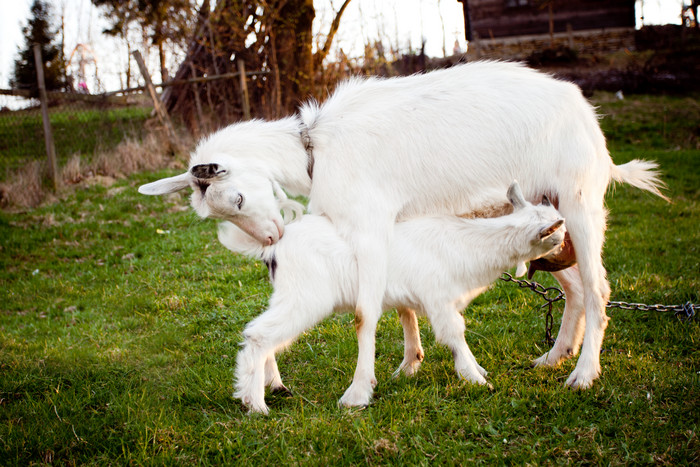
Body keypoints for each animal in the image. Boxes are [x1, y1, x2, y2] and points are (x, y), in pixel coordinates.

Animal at [138, 60, 668, 408]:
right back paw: (554, 358)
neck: (314, 150)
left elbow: (365, 313)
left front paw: (358, 391)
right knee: (574, 288)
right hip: (550, 219)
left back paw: (583, 375)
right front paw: (410, 362)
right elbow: (402, 304)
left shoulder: (368, 223)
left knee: (598, 288)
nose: (271, 239)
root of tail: (588, 118)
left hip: (580, 200)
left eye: (236, 199)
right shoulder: (391, 224)